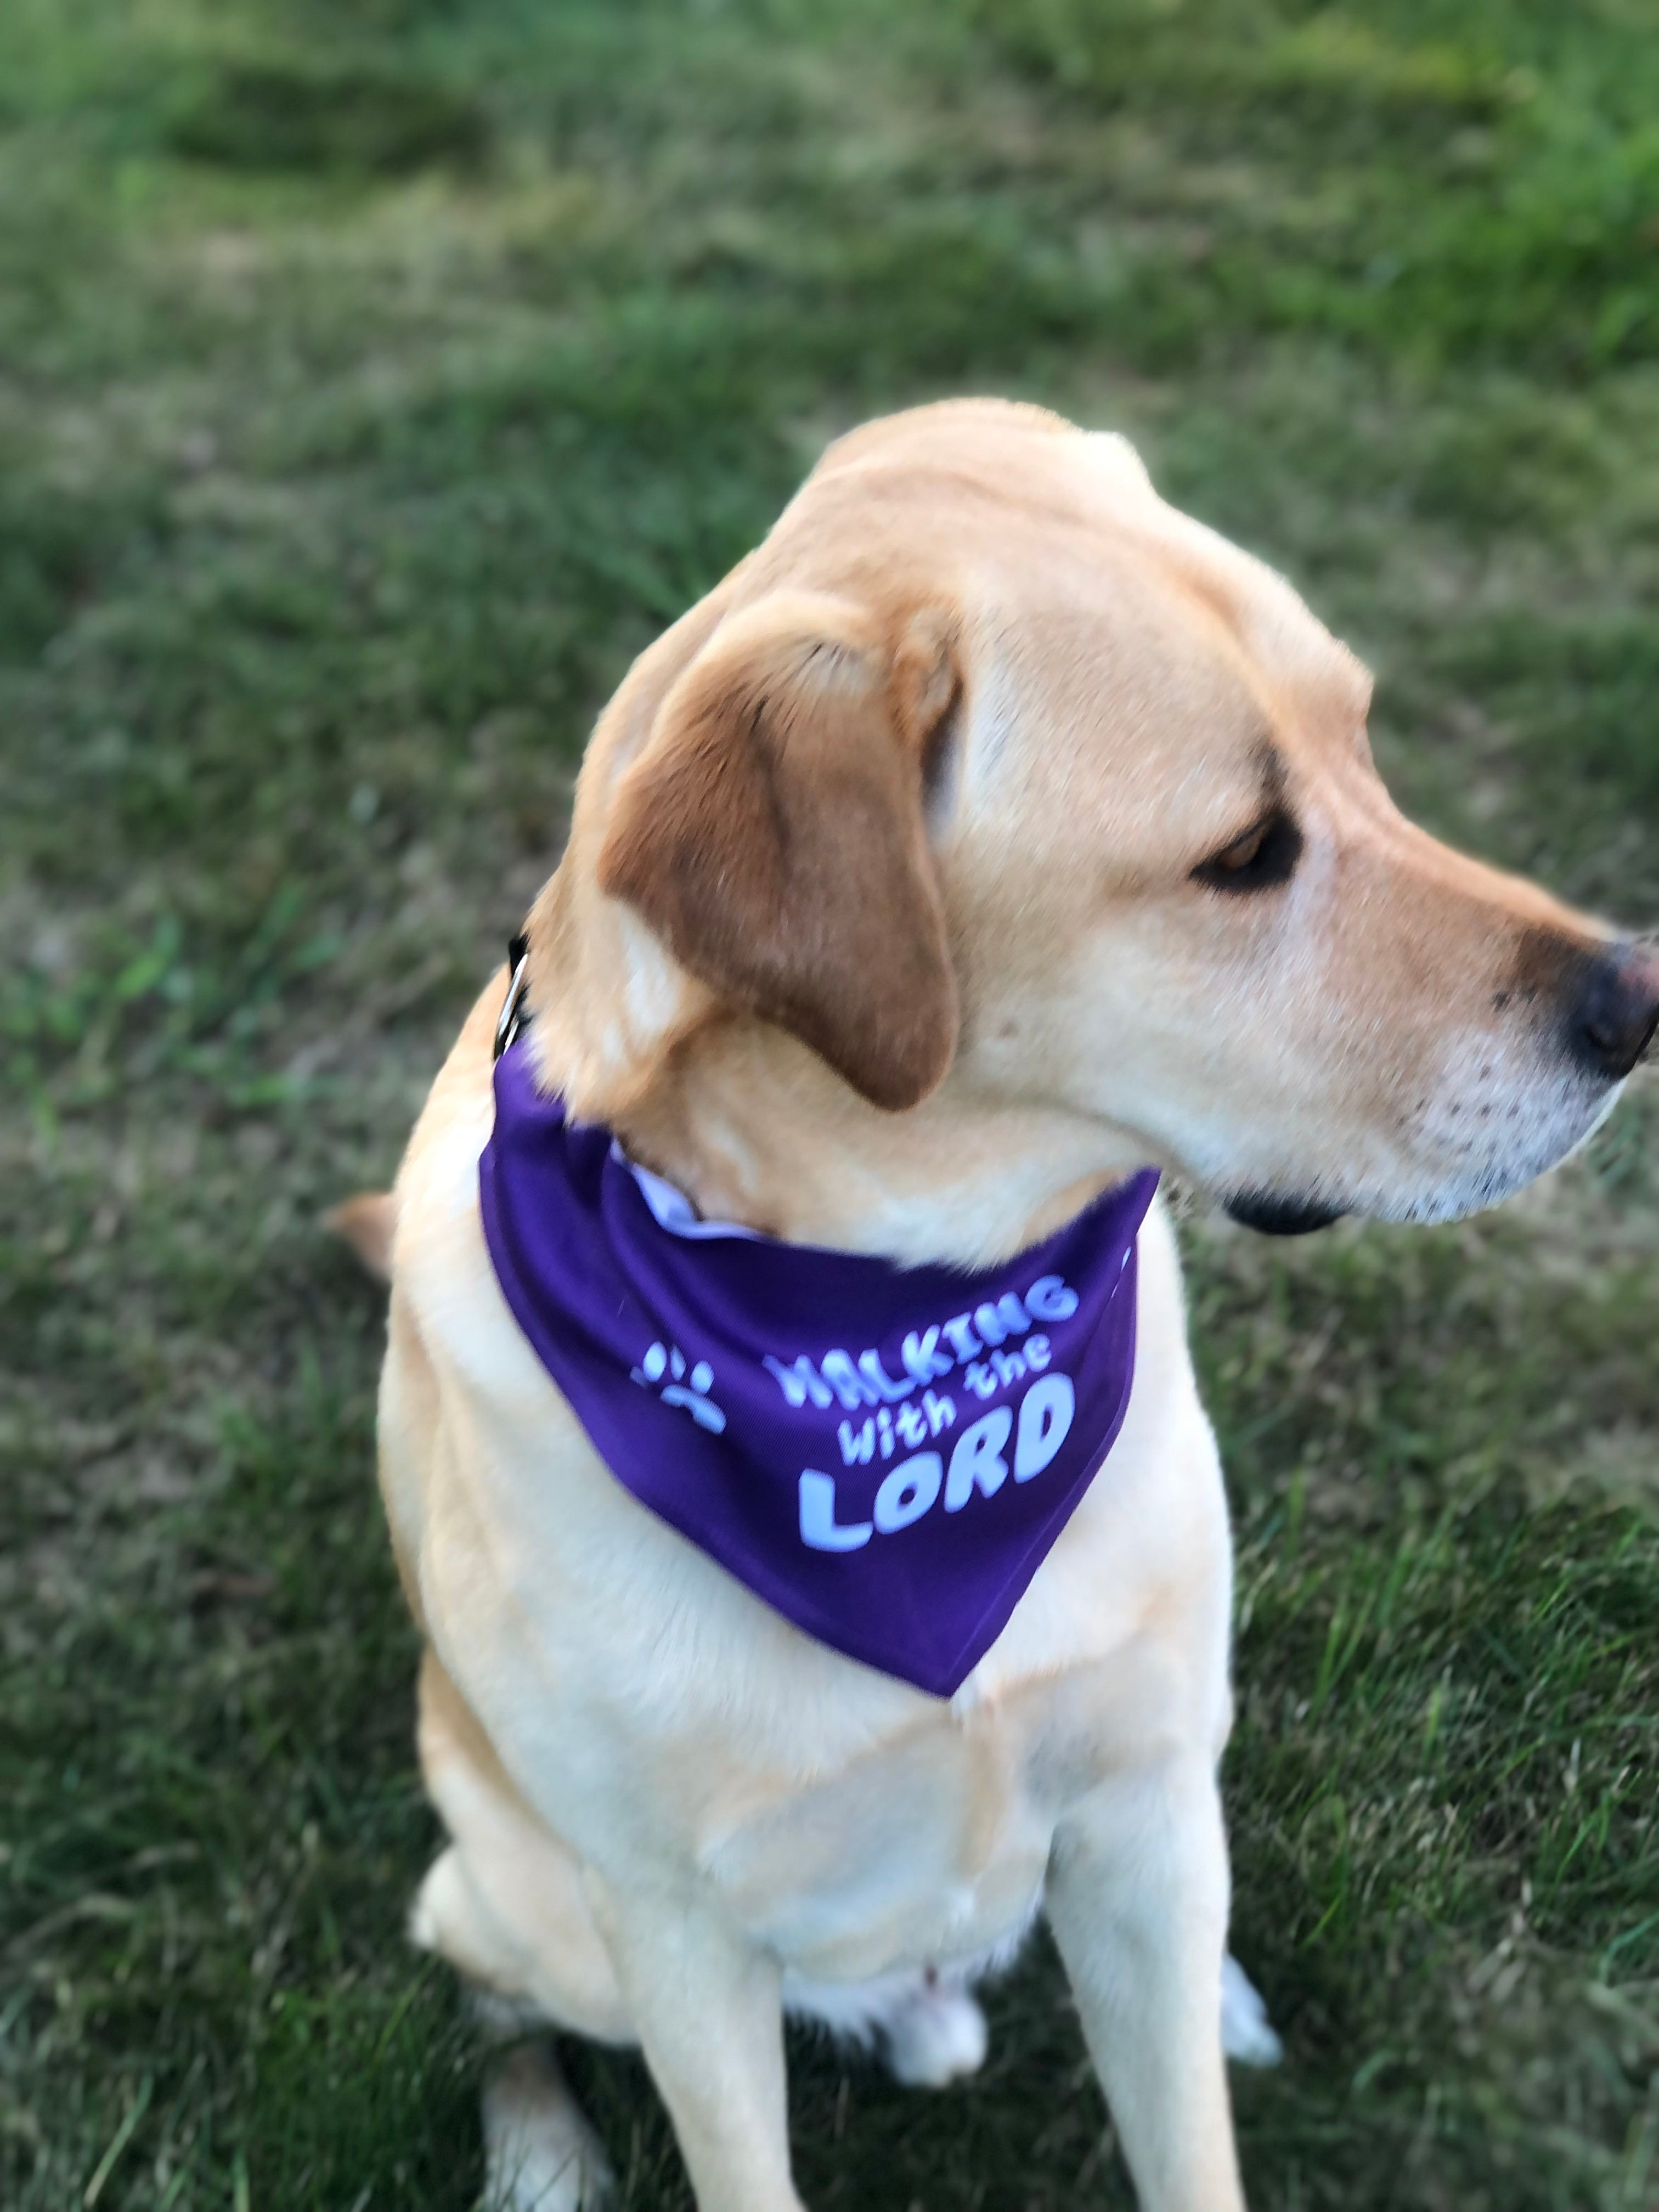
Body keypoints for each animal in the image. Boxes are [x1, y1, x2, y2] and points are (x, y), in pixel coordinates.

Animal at [347, 402, 1654, 2212]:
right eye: (1244, 855)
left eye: (1366, 742)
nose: (1640, 997)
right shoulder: (675, 1940)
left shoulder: (1144, 1778)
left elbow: (1190, 2142)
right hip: (509, 1900)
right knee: (496, 2013)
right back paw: (542, 2153)